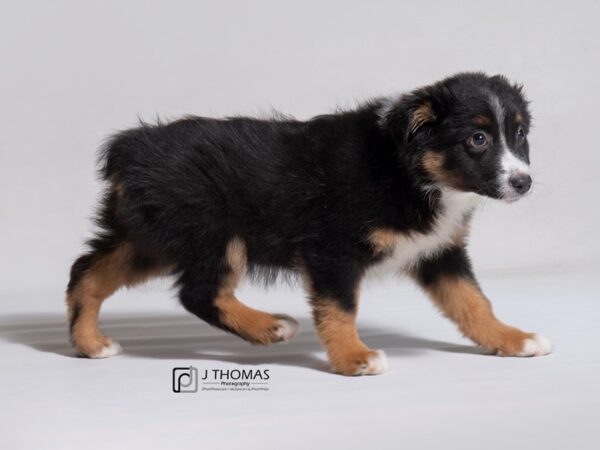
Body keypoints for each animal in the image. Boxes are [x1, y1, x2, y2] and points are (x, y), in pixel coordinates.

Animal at [67, 73, 552, 376]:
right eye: (478, 139)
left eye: (520, 134)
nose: (524, 183)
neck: (411, 169)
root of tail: (129, 148)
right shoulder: (332, 249)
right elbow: (340, 309)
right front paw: (354, 359)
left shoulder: (438, 251)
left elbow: (473, 302)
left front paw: (511, 339)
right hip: (212, 230)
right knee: (199, 292)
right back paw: (269, 327)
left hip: (150, 238)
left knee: (86, 272)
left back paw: (89, 343)